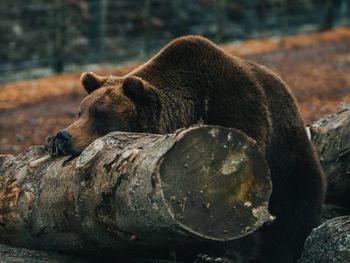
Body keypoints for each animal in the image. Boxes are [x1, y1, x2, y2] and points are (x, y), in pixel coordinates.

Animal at [46, 36, 326, 263]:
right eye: (81, 112)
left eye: (101, 115)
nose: (64, 135)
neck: (190, 109)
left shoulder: (239, 115)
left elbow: (240, 195)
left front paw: (217, 254)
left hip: (288, 149)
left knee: (298, 202)